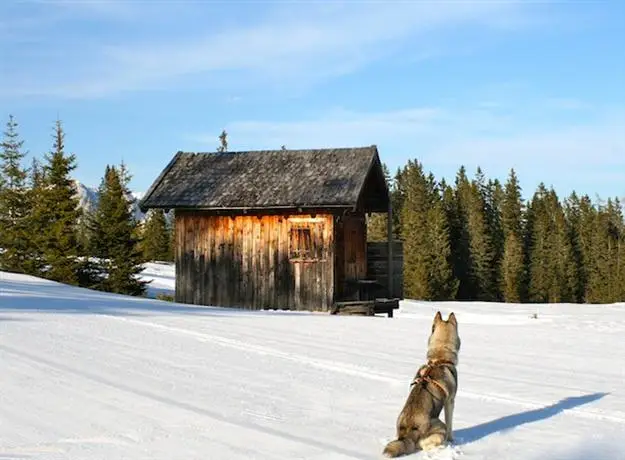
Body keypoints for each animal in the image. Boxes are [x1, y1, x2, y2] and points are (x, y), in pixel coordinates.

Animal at [380, 310, 458, 458]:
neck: (439, 359)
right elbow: (451, 423)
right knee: (426, 445)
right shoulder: (450, 402)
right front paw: (452, 440)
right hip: (440, 426)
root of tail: (408, 433)